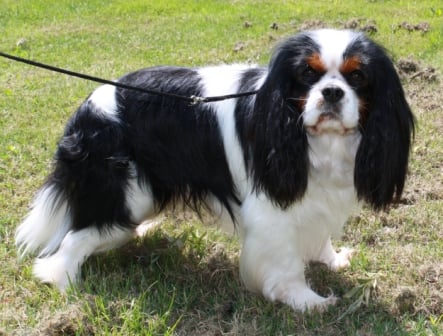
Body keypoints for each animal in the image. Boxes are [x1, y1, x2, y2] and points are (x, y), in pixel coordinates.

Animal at [14, 28, 416, 310]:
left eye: (357, 77)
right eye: (307, 74)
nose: (332, 92)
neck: (318, 140)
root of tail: (86, 108)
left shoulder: (315, 199)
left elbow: (318, 236)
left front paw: (330, 261)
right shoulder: (271, 211)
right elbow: (286, 263)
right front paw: (306, 301)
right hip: (128, 193)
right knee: (71, 240)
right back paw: (64, 283)